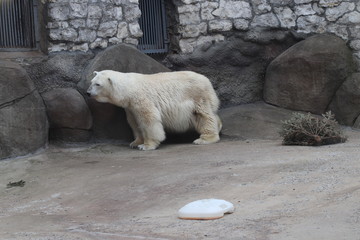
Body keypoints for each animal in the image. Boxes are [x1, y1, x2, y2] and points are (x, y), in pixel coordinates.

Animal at [88, 69, 222, 151]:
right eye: (91, 82)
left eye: (98, 84)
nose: (88, 92)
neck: (129, 89)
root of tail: (207, 80)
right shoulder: (130, 107)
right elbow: (134, 123)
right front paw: (135, 142)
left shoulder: (141, 100)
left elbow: (149, 120)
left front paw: (146, 145)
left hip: (197, 96)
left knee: (203, 115)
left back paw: (204, 139)